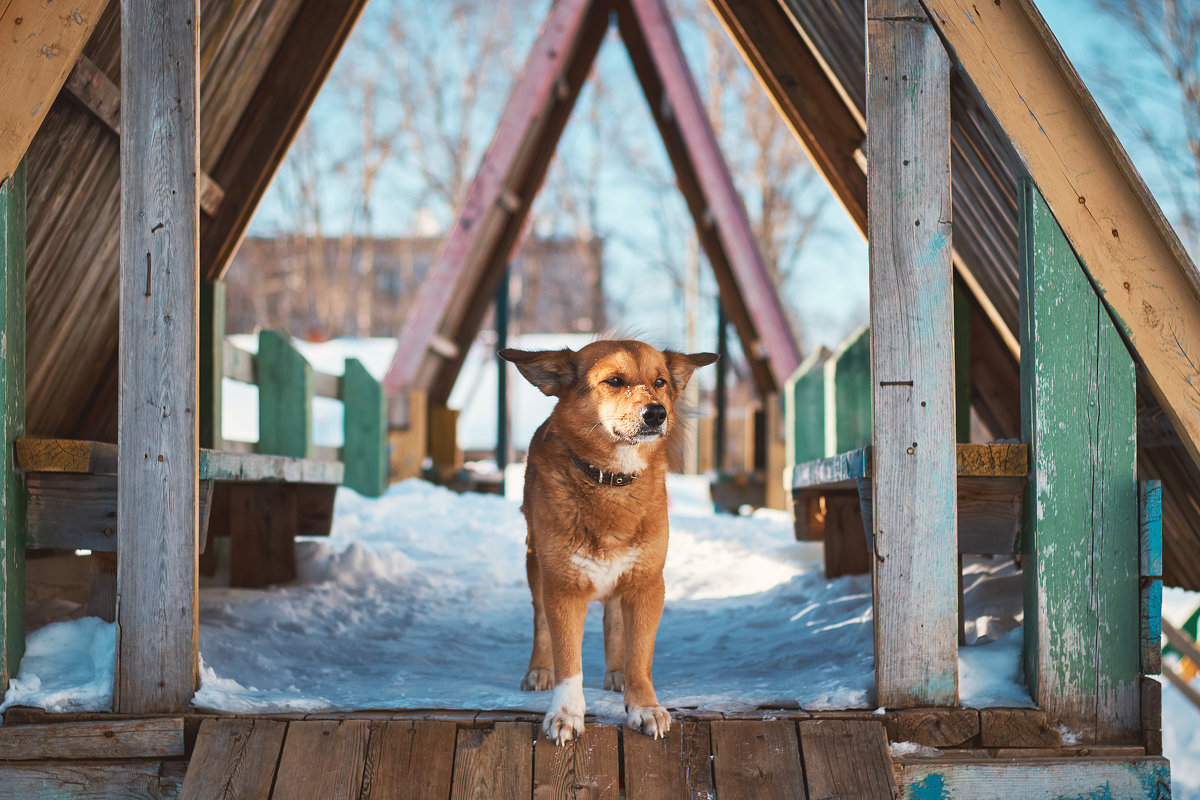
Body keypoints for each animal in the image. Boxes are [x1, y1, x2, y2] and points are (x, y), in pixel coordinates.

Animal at [496, 340, 710, 743]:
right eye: (614, 381)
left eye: (660, 382)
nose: (656, 413)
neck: (610, 479)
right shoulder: (563, 587)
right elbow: (568, 660)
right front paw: (566, 713)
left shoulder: (646, 585)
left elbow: (639, 652)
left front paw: (643, 705)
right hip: (536, 565)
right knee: (540, 621)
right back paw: (539, 669)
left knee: (614, 621)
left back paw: (617, 672)